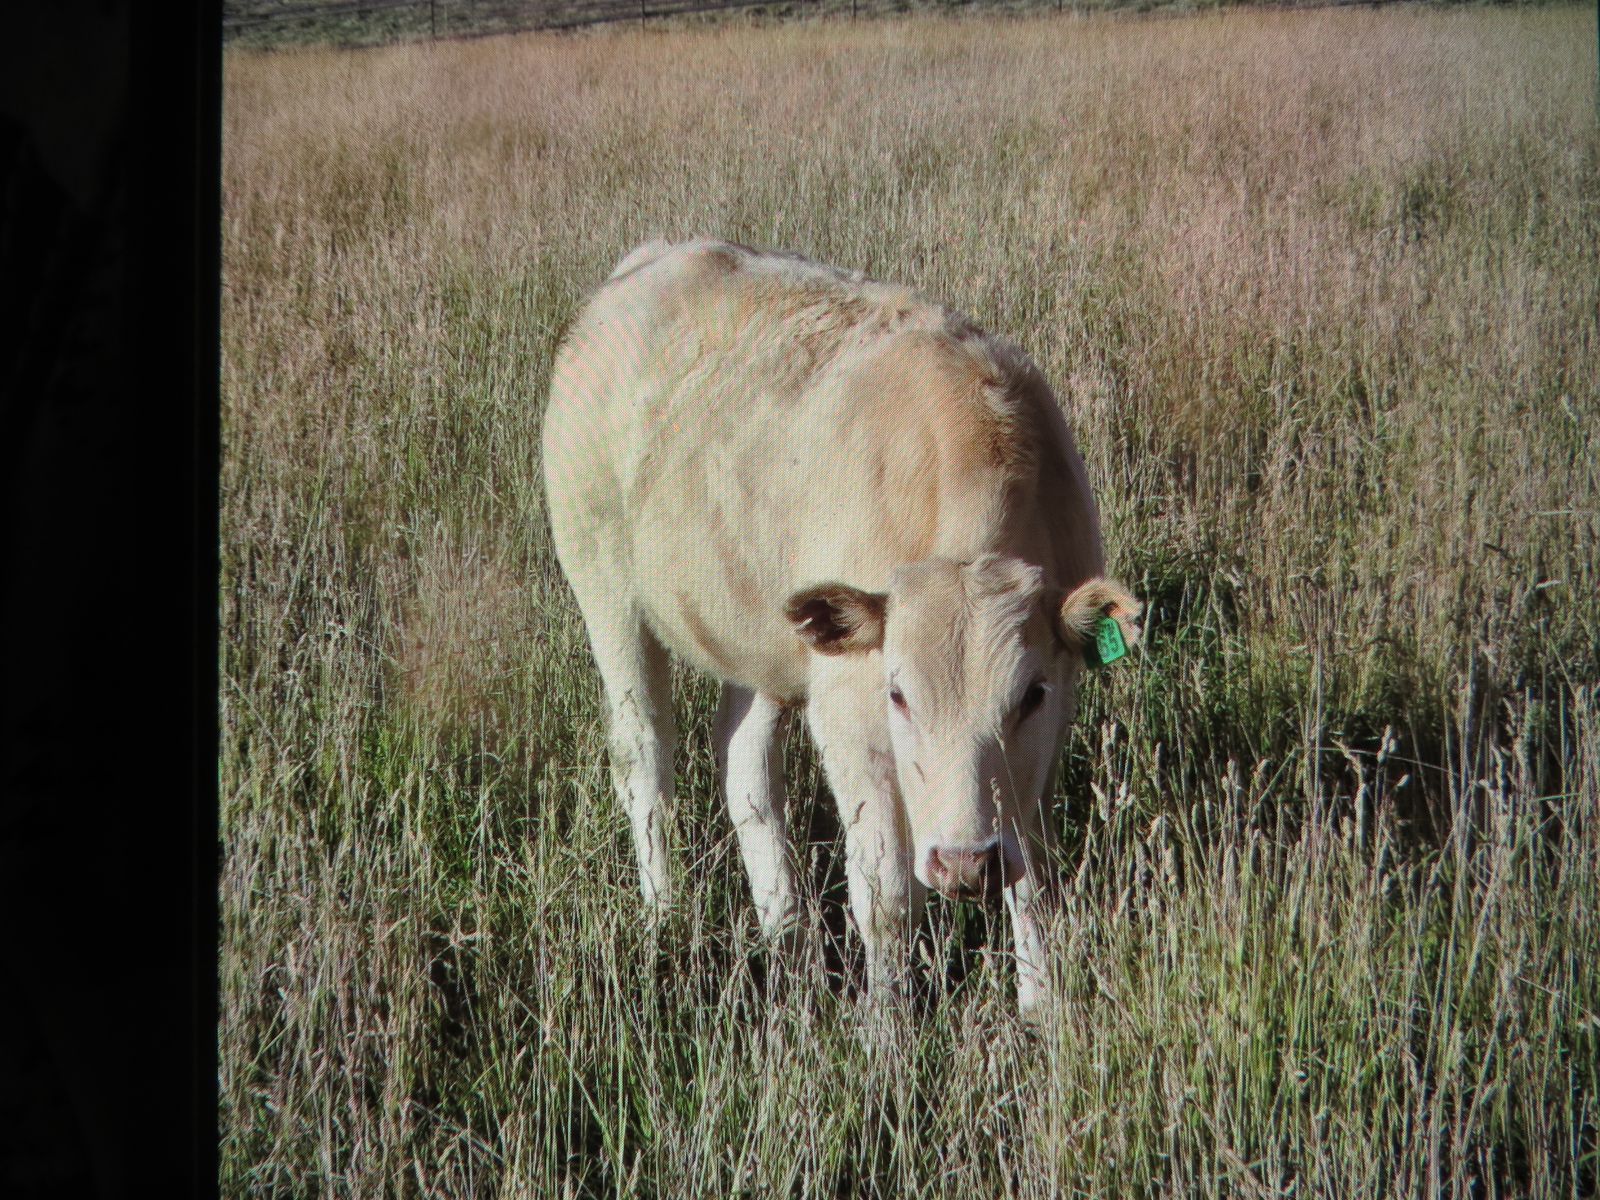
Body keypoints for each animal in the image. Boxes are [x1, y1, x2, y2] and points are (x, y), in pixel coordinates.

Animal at [542, 239, 1141, 1015]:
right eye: (898, 695)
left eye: (1030, 694)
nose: (963, 864)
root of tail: (650, 262)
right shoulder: (850, 717)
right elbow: (884, 900)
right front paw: (886, 1029)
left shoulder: (1047, 729)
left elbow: (1033, 879)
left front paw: (1043, 1013)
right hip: (607, 592)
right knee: (644, 756)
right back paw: (665, 920)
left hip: (764, 641)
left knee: (744, 767)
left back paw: (787, 936)